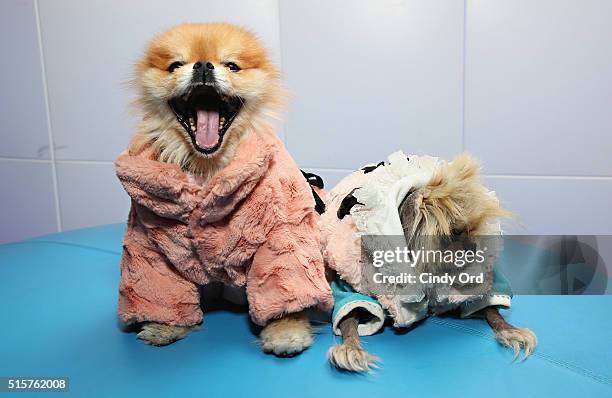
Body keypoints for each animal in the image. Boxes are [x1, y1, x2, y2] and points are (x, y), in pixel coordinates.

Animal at [119, 23, 330, 356]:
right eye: (175, 65)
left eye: (232, 65)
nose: (204, 65)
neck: (207, 171)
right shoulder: (148, 246)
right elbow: (161, 290)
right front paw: (165, 326)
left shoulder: (280, 236)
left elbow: (285, 284)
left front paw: (285, 330)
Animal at [322, 154, 536, 372]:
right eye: (454, 232)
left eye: (473, 228)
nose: (474, 247)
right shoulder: (350, 286)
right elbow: (349, 317)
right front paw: (351, 349)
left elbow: (490, 307)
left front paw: (510, 331)